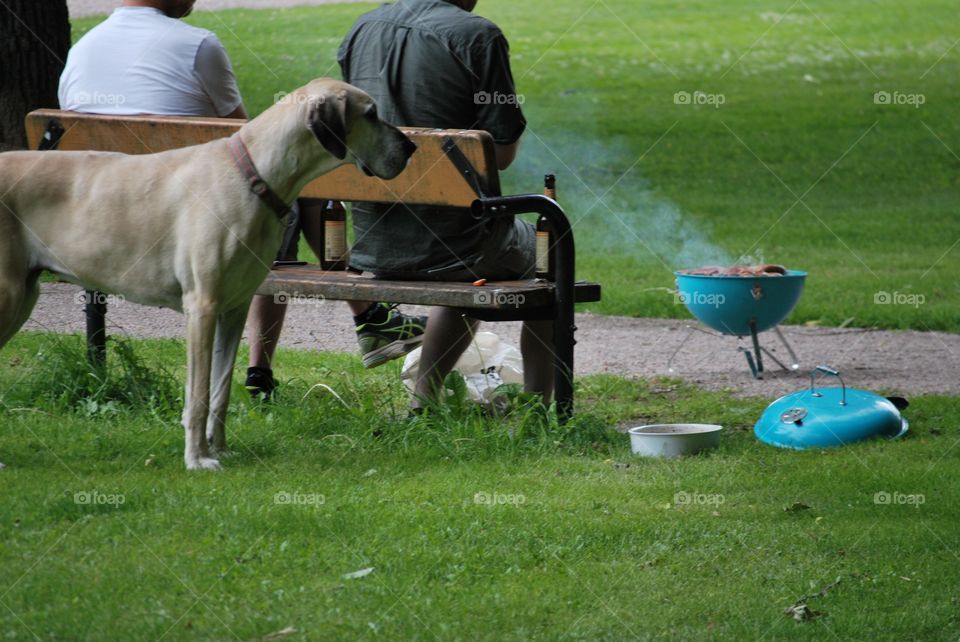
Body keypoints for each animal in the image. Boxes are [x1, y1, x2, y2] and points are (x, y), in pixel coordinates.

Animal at [0, 79, 416, 470]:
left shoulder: (234, 309)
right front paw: (197, 458)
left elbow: (221, 390)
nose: (412, 147)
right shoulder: (203, 307)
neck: (256, 175)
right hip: (10, 296)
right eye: (371, 114)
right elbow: (198, 393)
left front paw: (221, 448)